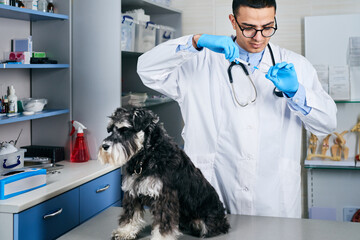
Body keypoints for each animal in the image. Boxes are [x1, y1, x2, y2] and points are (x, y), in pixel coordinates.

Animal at [97, 108, 229, 240]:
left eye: (125, 129)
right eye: (110, 130)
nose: (104, 146)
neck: (147, 156)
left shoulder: (164, 197)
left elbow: (163, 221)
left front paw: (162, 237)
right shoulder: (132, 192)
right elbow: (130, 215)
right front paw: (125, 231)